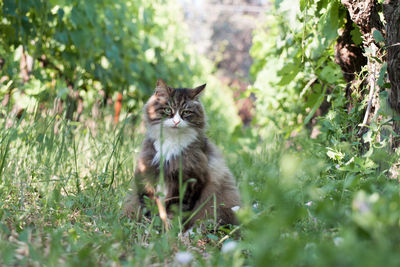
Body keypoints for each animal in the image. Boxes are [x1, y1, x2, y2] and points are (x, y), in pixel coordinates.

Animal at [123, 78, 239, 231]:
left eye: (186, 112)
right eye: (168, 110)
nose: (176, 121)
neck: (171, 142)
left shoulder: (191, 181)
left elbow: (176, 211)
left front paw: (170, 231)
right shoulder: (147, 175)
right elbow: (150, 208)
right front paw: (152, 228)